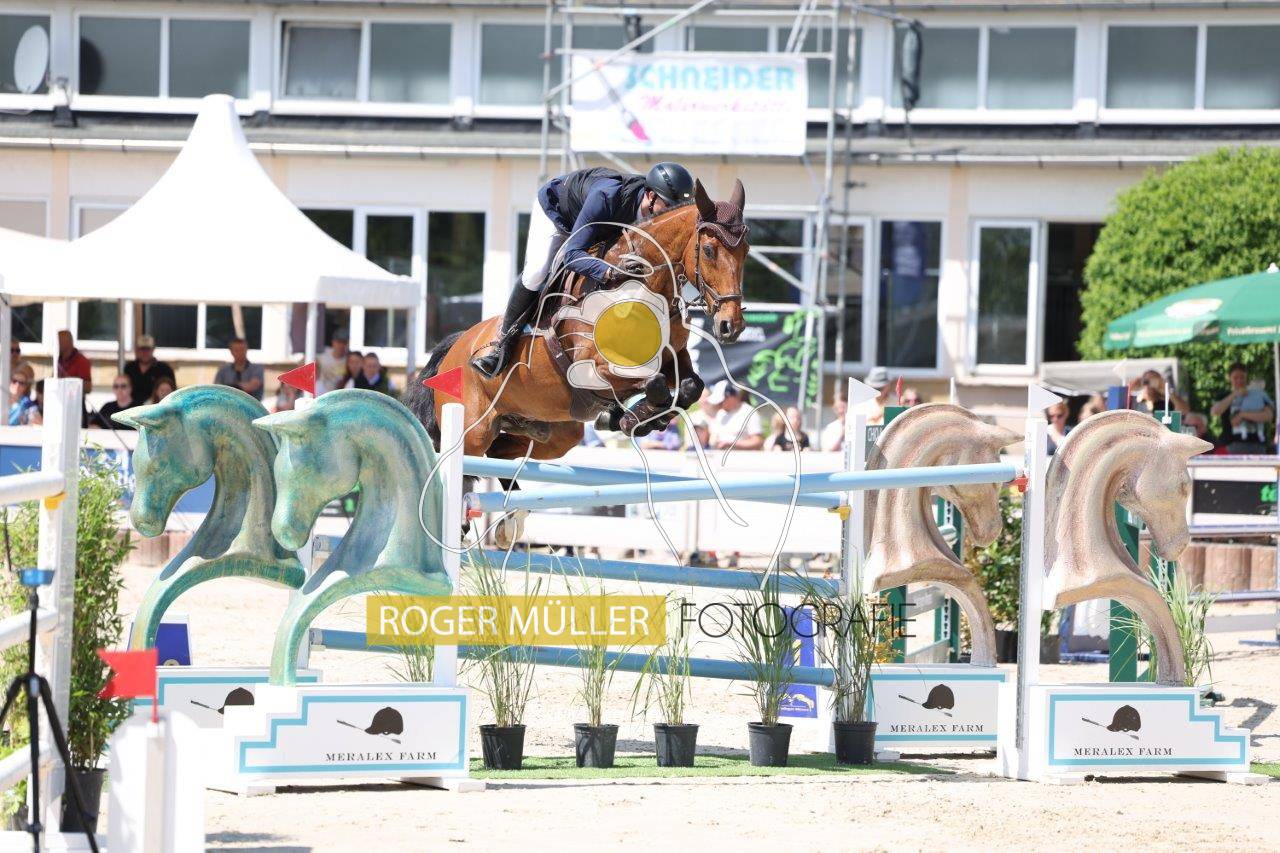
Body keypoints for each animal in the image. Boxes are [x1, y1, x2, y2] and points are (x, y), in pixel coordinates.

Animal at [404, 179, 749, 465]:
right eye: (709, 250)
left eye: (746, 252)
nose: (731, 325)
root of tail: (455, 346)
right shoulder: (592, 368)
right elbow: (654, 382)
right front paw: (632, 417)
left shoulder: (672, 356)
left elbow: (690, 385)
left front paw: (637, 419)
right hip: (473, 431)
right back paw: (491, 358)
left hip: (553, 433)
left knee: (501, 453)